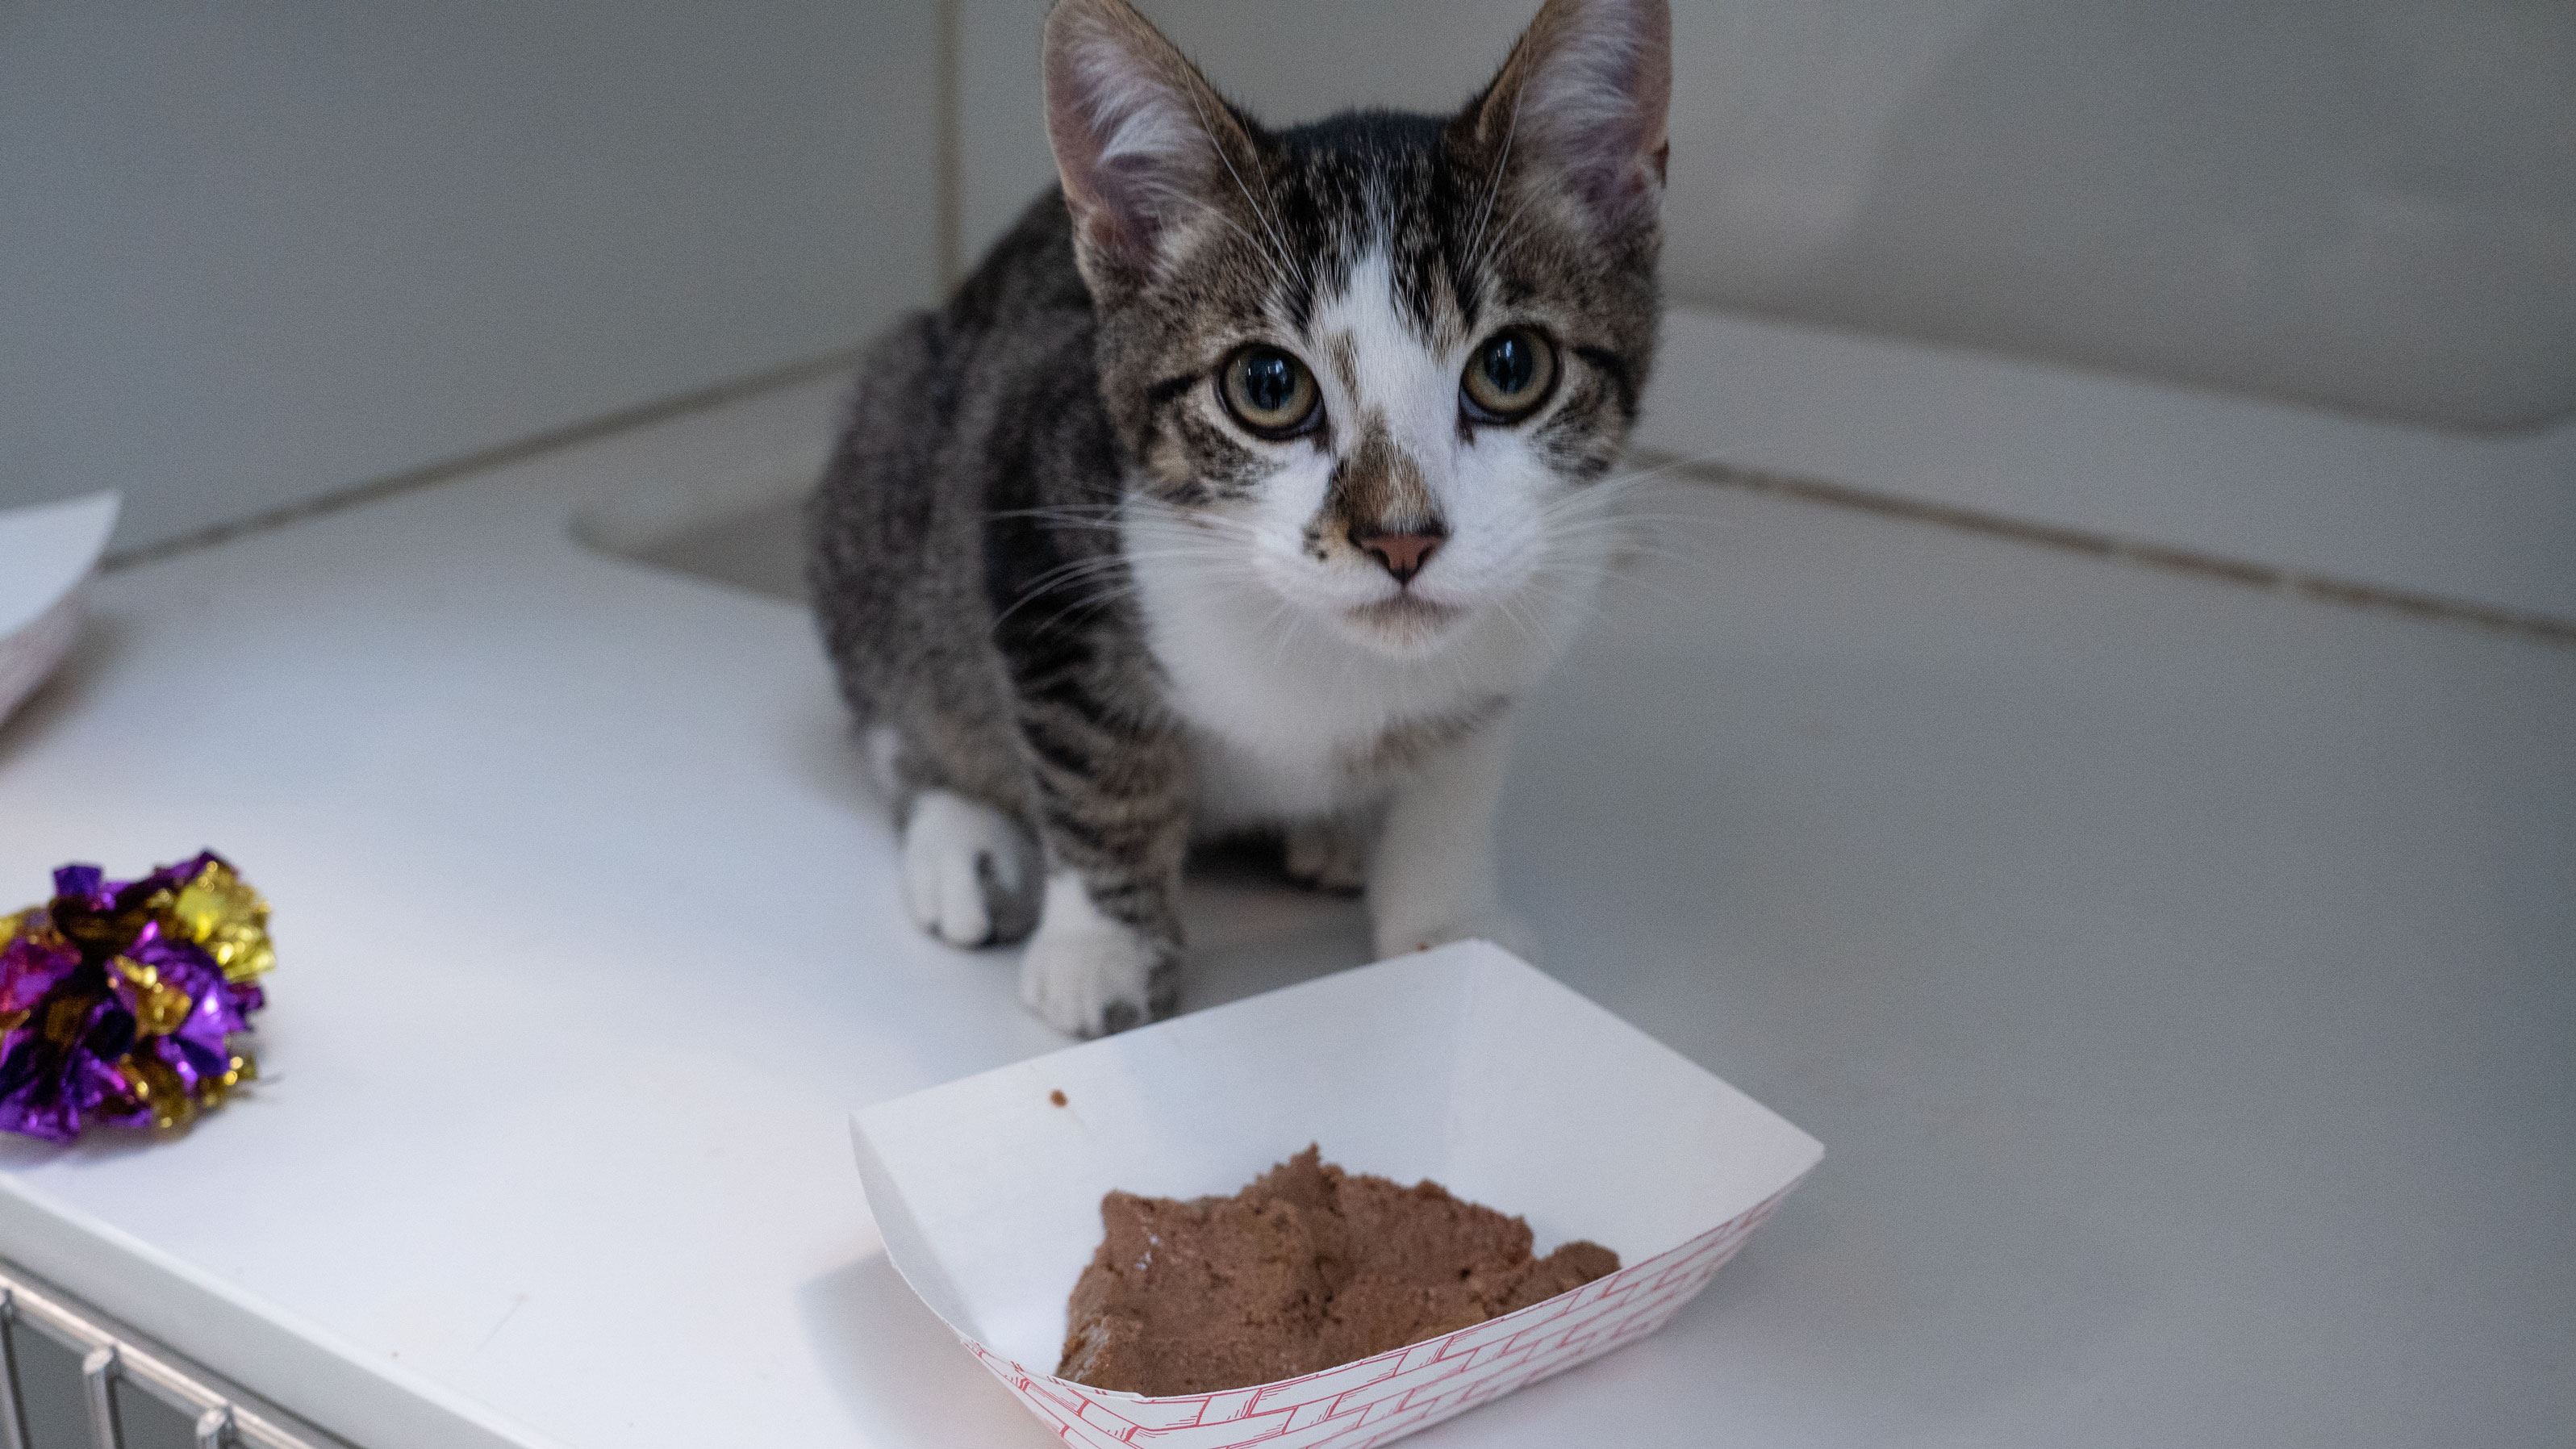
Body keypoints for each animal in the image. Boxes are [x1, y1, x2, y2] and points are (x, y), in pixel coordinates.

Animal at [813, 0, 1679, 1025]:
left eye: (1511, 369)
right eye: (1267, 387)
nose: (1401, 536)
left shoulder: (1522, 610)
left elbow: (1459, 762)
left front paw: (1446, 923)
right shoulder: (1031, 497)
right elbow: (1096, 757)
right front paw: (1105, 945)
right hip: (893, 455)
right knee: (901, 702)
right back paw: (960, 837)